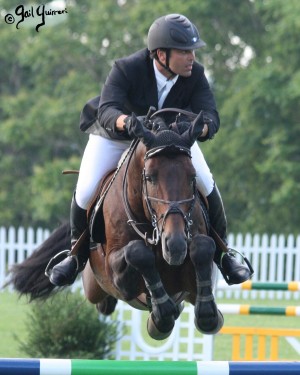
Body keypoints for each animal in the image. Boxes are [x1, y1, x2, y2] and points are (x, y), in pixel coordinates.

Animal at [7, 111, 223, 340]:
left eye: (192, 177)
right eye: (149, 177)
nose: (175, 245)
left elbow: (203, 246)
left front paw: (208, 314)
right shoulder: (117, 273)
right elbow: (137, 252)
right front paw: (162, 313)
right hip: (93, 286)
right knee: (101, 300)